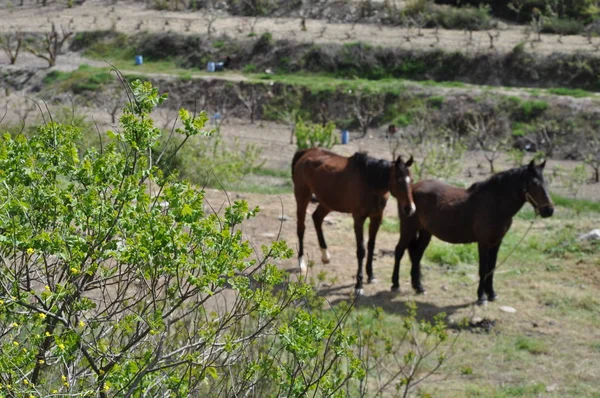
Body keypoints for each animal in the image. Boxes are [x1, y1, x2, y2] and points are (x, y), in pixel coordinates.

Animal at [292, 148, 414, 294]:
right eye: (398, 180)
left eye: (412, 180)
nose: (409, 208)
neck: (370, 182)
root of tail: (306, 152)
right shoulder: (358, 219)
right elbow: (361, 250)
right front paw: (359, 285)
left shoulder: (376, 217)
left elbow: (371, 246)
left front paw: (371, 275)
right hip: (302, 196)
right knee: (301, 227)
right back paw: (301, 262)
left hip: (327, 202)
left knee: (317, 218)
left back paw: (325, 255)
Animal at [394, 159, 552, 304]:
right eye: (533, 183)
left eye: (545, 182)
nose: (549, 210)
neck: (495, 203)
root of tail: (411, 190)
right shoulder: (483, 242)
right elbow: (483, 269)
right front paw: (481, 297)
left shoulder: (497, 242)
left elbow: (491, 268)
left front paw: (492, 294)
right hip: (408, 229)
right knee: (399, 251)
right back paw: (395, 285)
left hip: (425, 232)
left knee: (416, 255)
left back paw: (419, 287)